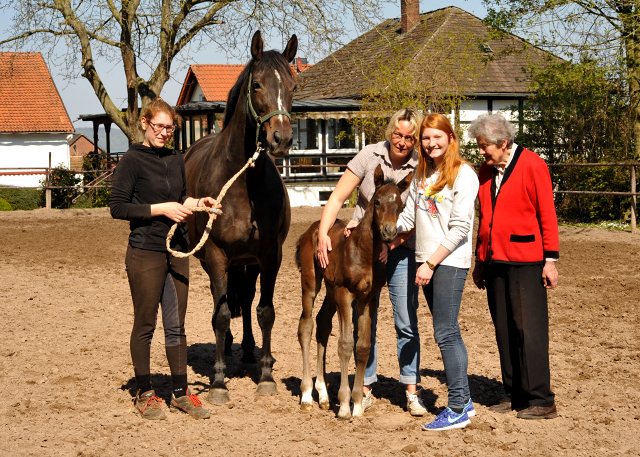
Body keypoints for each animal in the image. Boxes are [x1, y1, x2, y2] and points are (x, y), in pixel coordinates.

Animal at [182, 31, 298, 402]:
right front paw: (218, 382)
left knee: (245, 302)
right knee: (222, 301)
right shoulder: (217, 254)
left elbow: (265, 311)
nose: (281, 139)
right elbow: (220, 314)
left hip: (248, 262)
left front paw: (266, 376)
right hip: (213, 260)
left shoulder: (269, 256)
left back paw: (248, 350)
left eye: (293, 84)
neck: (243, 183)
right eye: (257, 84)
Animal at [294, 166, 410, 418]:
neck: (362, 253)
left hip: (330, 291)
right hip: (312, 283)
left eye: (401, 206)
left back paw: (323, 394)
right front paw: (345, 405)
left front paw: (357, 405)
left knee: (323, 324)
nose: (388, 232)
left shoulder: (368, 298)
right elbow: (346, 344)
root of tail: (312, 229)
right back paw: (307, 395)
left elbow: (363, 347)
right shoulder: (345, 294)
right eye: (377, 201)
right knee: (306, 326)